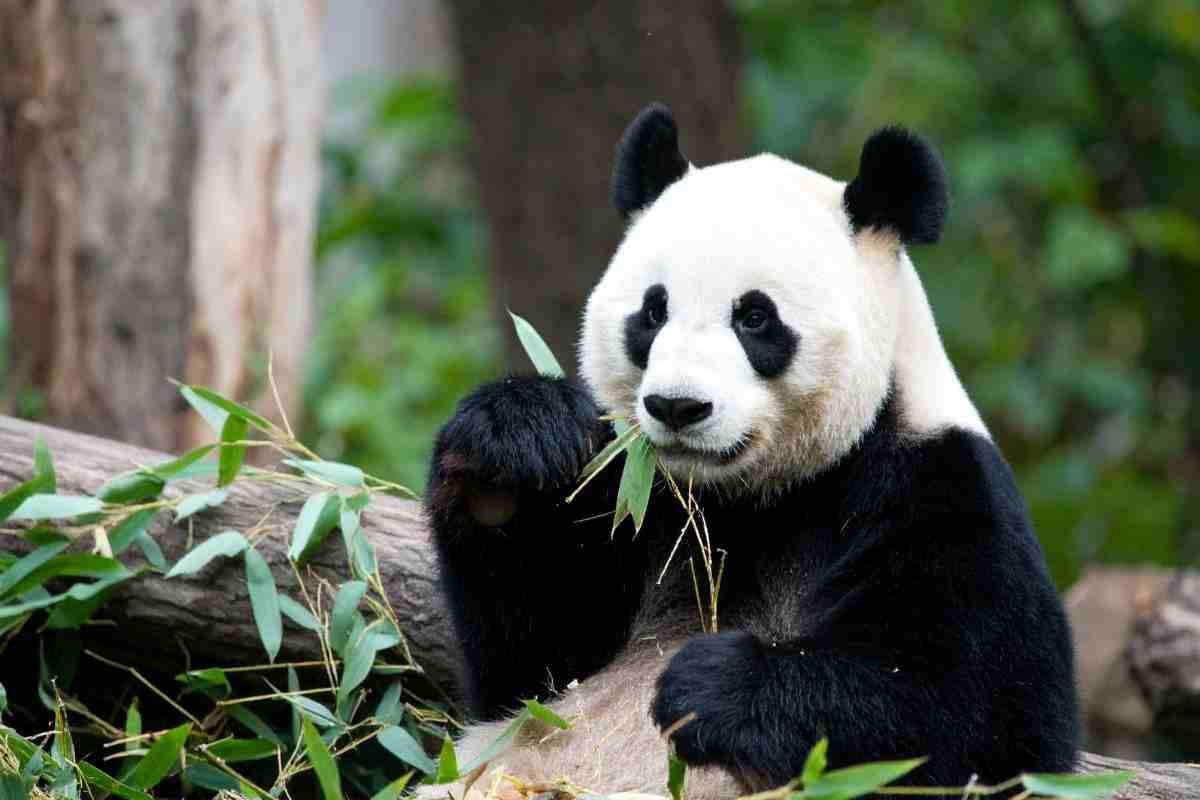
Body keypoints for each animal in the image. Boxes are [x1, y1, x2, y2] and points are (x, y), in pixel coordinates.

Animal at [424, 103, 1080, 798]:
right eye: (652, 312)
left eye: (755, 318)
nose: (677, 406)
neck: (753, 497)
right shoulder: (636, 500)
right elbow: (533, 658)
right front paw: (514, 442)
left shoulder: (938, 485)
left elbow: (979, 710)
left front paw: (713, 686)